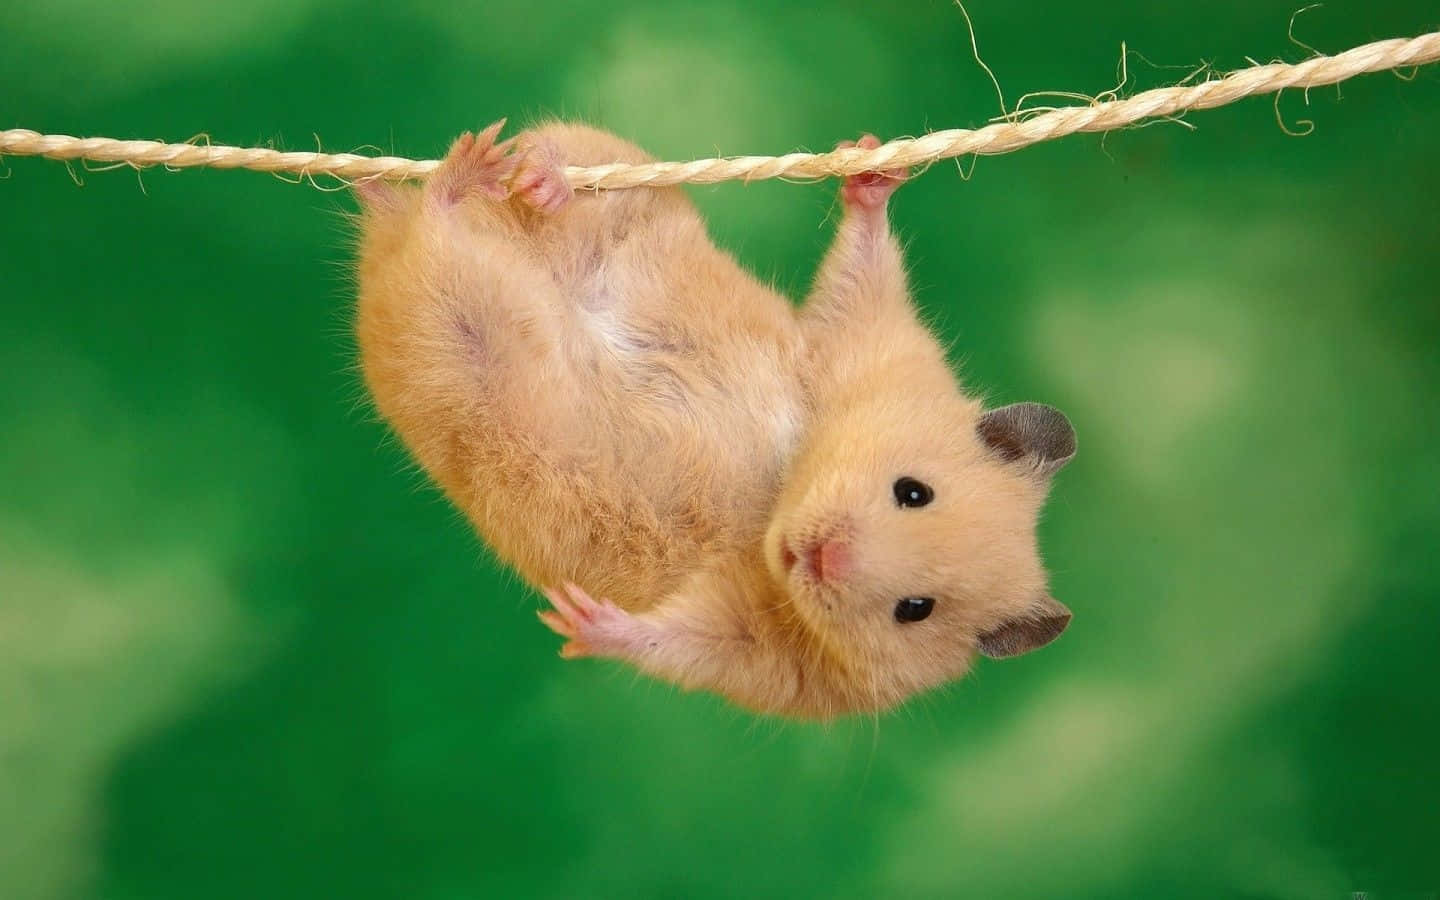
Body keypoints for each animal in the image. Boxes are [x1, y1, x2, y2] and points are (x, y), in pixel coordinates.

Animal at [351, 120, 1076, 720]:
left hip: (450, 338)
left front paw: (577, 620)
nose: (821, 557)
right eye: (913, 491)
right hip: (623, 188)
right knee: (556, 165)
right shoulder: (861, 344)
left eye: (915, 611)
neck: (778, 499)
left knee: (433, 243)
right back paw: (517, 174)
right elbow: (861, 273)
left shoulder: (762, 655)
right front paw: (871, 165)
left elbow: (676, 641)